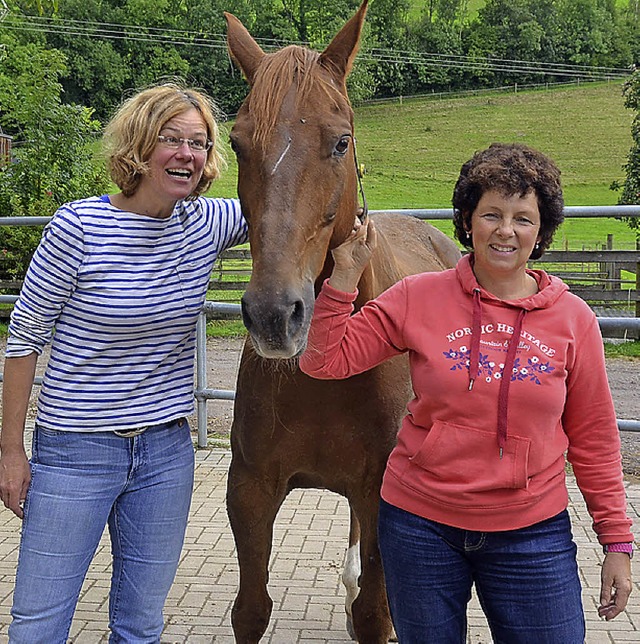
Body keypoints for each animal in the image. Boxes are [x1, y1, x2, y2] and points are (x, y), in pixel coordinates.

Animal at [225, 2, 460, 640]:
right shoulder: (250, 489)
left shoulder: (379, 490)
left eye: (340, 142)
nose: (274, 315)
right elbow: (250, 608)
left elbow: (376, 611)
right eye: (236, 143)